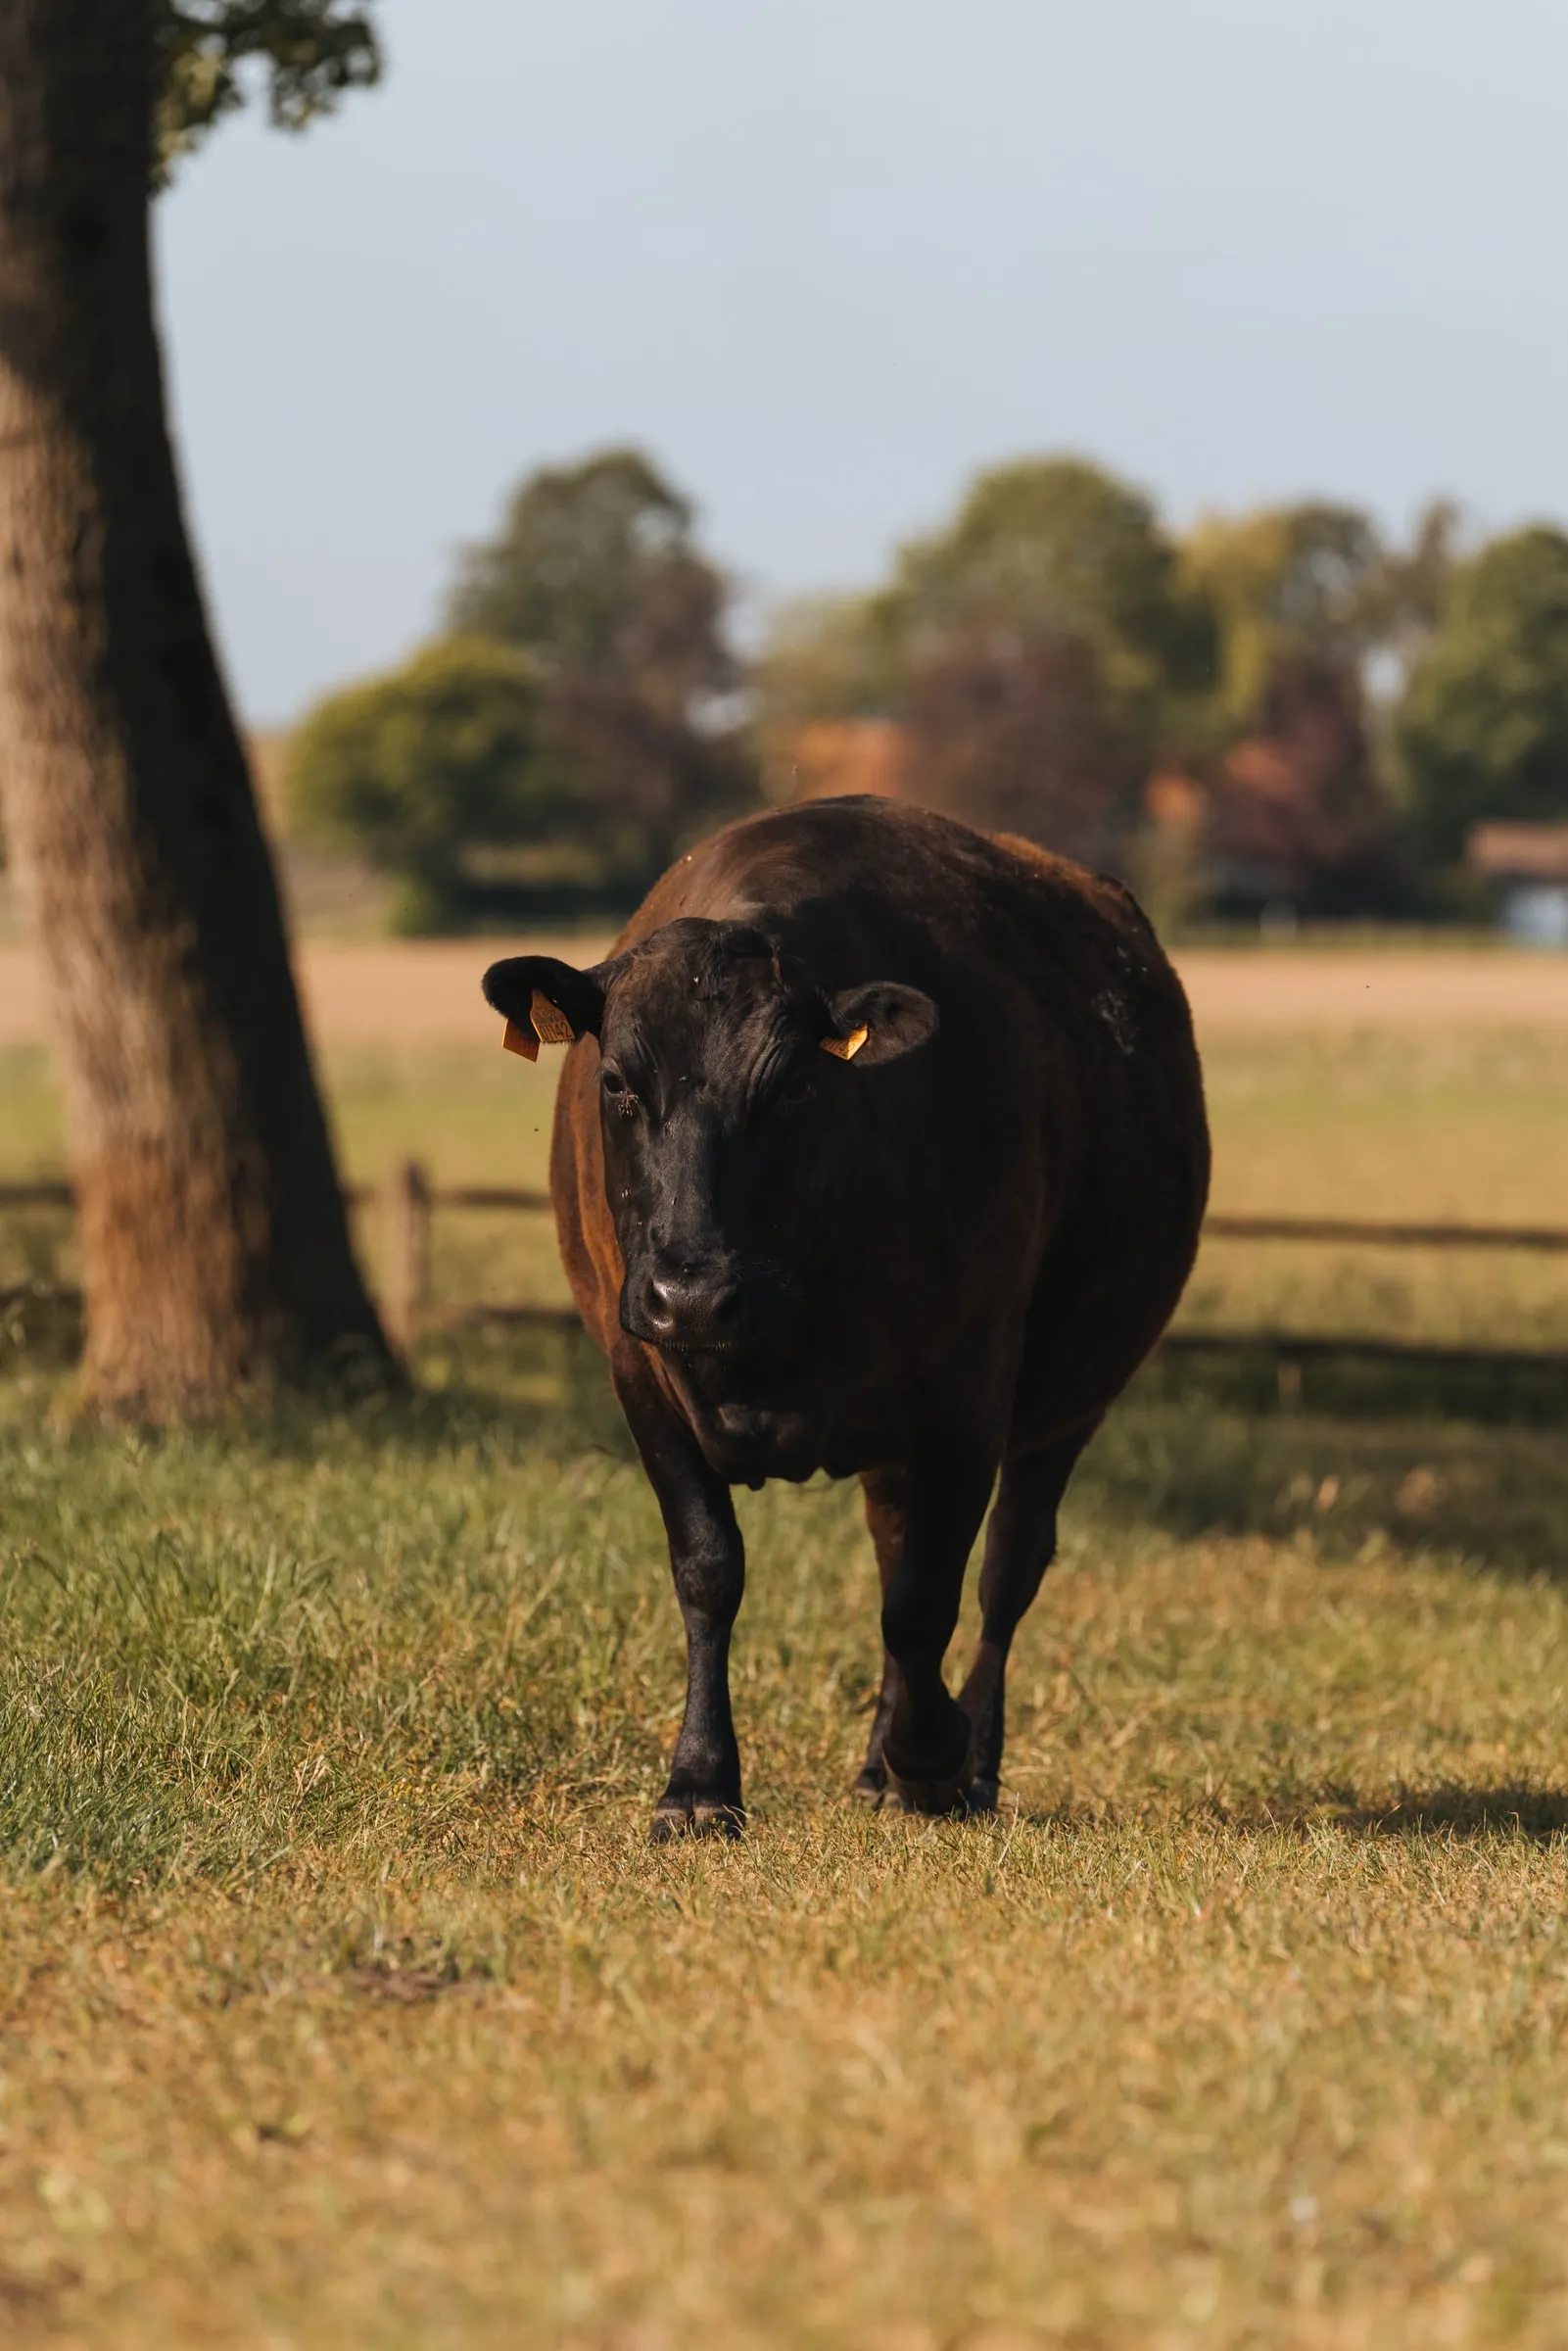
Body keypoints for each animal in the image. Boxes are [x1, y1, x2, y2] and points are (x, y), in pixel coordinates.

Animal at [482, 796, 1209, 1836]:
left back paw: (967, 1762)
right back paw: (876, 1763)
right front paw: (699, 1782)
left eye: (792, 1086)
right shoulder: (639, 1371)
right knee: (898, 1546)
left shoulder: (967, 1386)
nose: (693, 1293)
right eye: (616, 1082)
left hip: (1071, 1399)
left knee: (1002, 1572)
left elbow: (924, 1603)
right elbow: (709, 1569)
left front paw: (935, 1756)